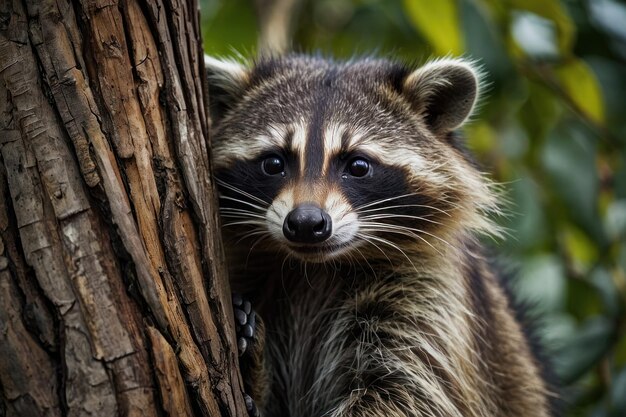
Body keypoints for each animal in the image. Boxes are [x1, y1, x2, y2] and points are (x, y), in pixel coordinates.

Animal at [207, 55, 552, 416]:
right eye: (273, 163)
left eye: (358, 166)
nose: (305, 223)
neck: (315, 268)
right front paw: (255, 373)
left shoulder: (430, 295)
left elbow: (409, 391)